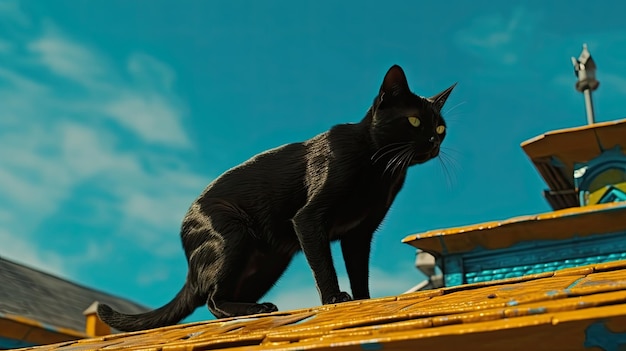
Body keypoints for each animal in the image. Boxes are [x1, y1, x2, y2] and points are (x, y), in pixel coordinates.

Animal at [97, 66, 454, 332]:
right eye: (414, 121)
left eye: (440, 128)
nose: (433, 143)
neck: (382, 170)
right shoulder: (309, 220)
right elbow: (325, 267)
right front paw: (336, 300)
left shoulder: (359, 233)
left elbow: (359, 271)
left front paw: (363, 301)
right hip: (233, 237)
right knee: (210, 299)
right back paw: (256, 308)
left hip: (267, 263)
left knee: (216, 296)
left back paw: (254, 308)